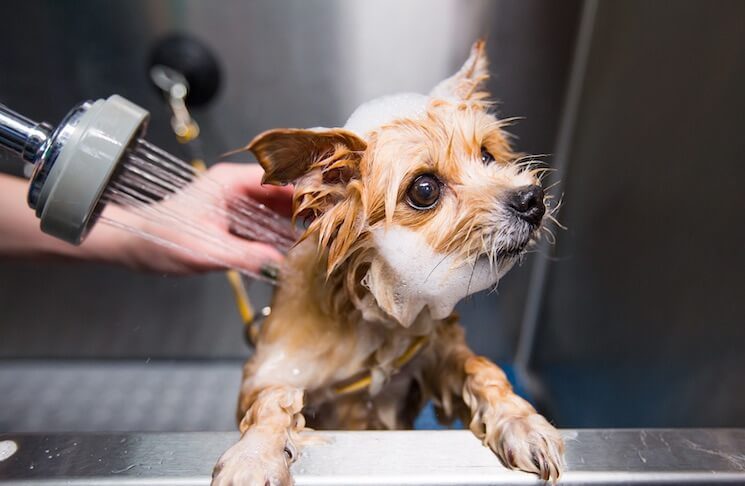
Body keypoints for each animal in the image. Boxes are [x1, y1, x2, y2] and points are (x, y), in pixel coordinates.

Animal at [212, 40, 560, 486]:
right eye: (424, 189)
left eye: (486, 155)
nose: (531, 200)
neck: (376, 316)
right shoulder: (271, 372)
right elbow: (270, 403)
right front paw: (254, 457)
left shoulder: (435, 355)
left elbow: (482, 369)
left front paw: (523, 421)